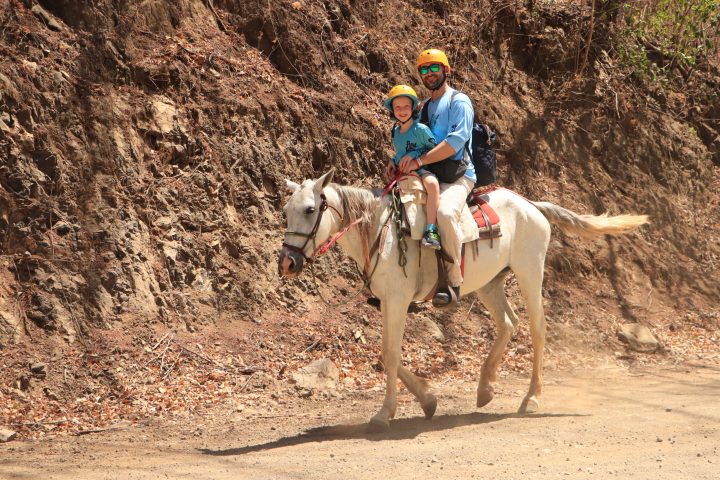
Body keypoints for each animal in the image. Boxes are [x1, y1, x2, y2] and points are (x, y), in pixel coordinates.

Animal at [278, 168, 648, 431]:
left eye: (310, 209)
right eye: (285, 211)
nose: (287, 263)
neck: (381, 232)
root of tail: (531, 205)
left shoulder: (397, 301)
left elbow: (390, 354)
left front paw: (385, 413)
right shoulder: (388, 303)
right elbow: (387, 355)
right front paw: (428, 400)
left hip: (530, 272)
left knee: (538, 329)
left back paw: (531, 398)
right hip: (489, 284)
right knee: (508, 323)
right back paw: (485, 390)